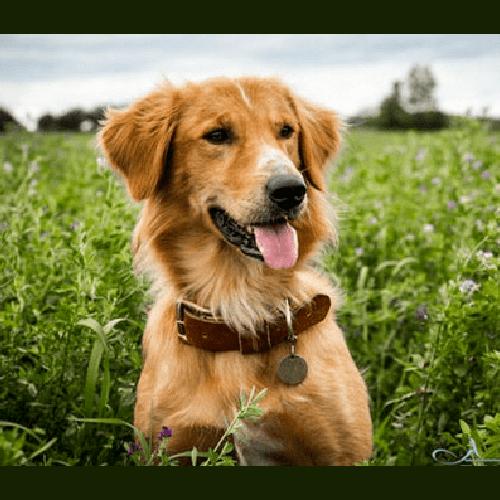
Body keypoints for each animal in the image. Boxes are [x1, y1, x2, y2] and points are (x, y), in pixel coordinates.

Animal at [98, 76, 372, 466]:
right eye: (217, 135)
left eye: (286, 131)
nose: (291, 190)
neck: (240, 304)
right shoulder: (170, 446)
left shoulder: (343, 453)